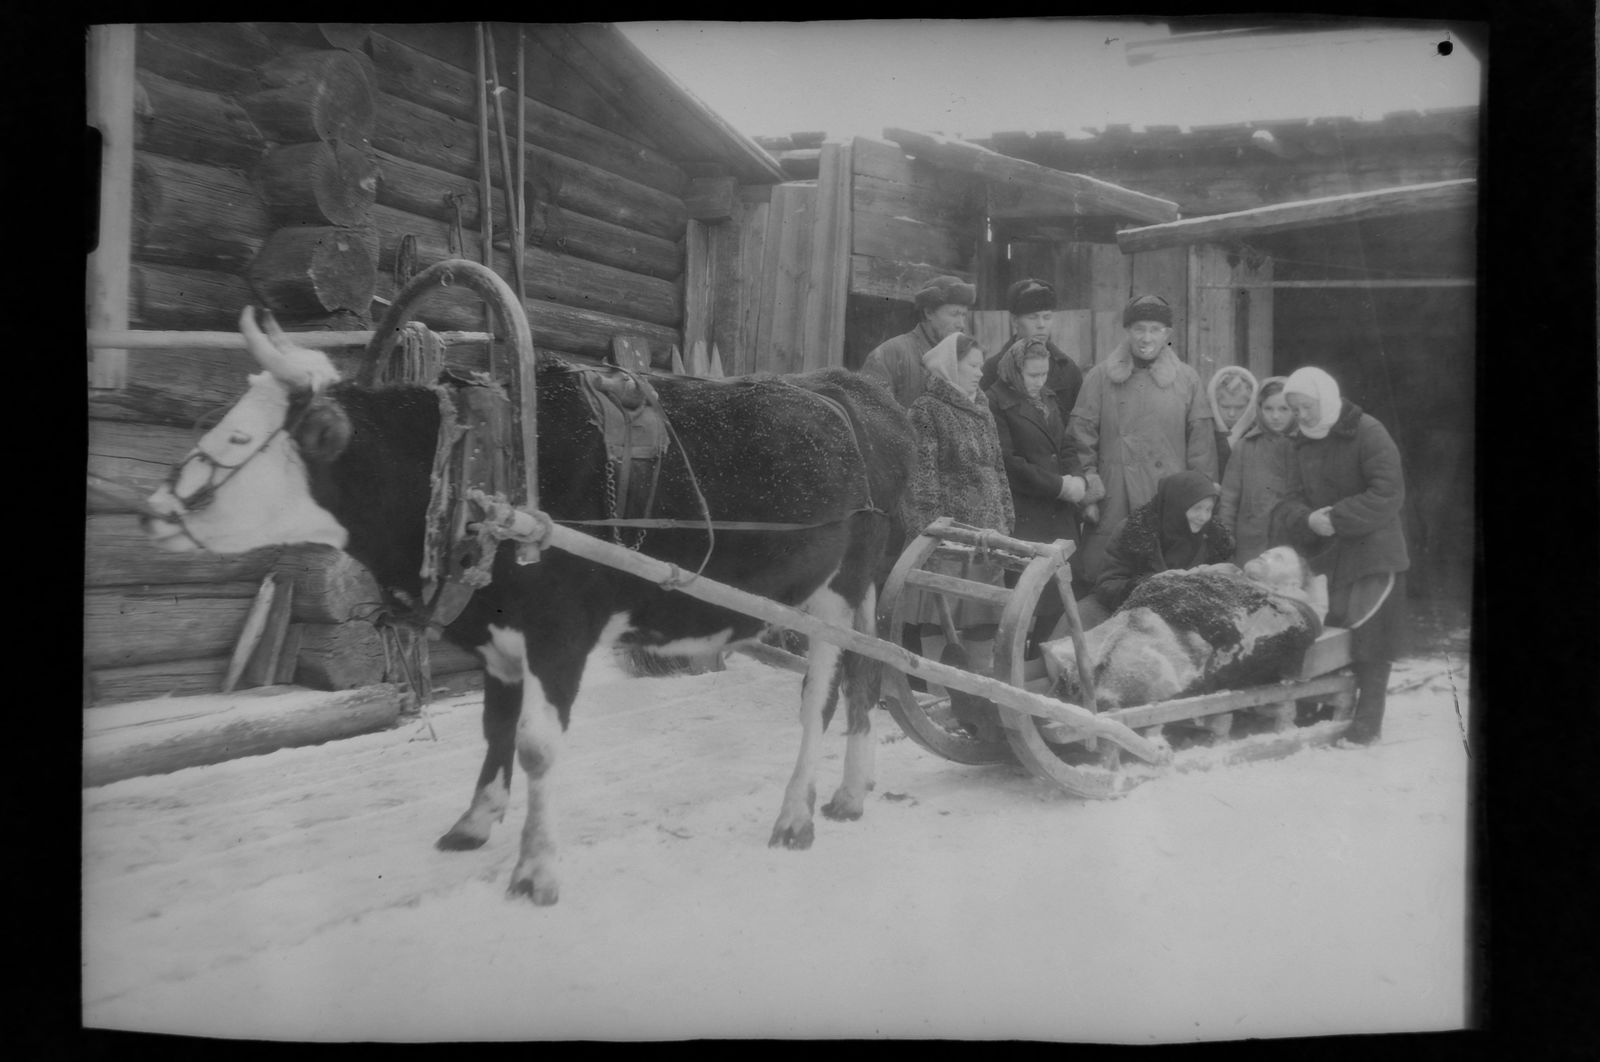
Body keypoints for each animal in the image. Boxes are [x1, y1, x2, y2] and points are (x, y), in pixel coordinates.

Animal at [144, 305, 921, 902]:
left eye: (239, 435)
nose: (154, 510)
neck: (471, 469)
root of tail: (848, 383)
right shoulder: (497, 636)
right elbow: (494, 729)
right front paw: (474, 822)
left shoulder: (560, 632)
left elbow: (538, 745)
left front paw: (536, 870)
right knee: (867, 676)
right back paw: (852, 793)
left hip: (839, 592)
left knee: (823, 694)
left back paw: (796, 816)